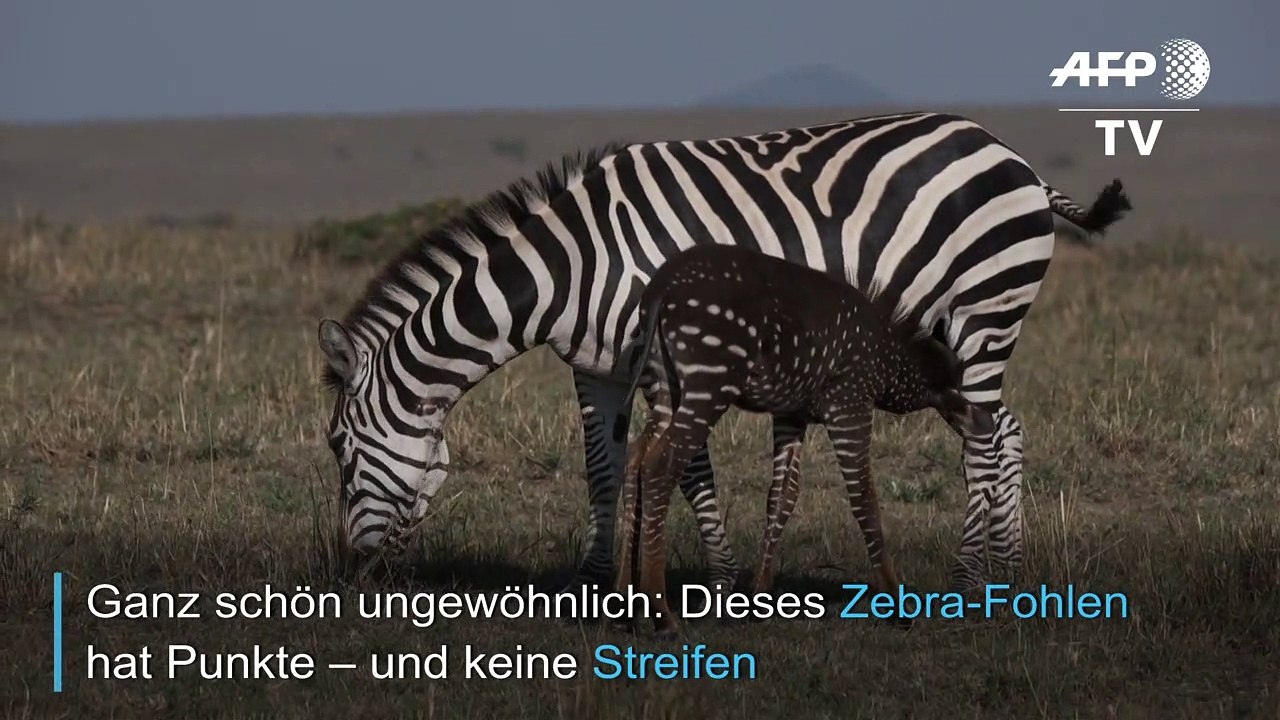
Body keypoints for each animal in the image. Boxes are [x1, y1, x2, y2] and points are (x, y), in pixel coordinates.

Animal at [316, 111, 1131, 593]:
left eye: (339, 447)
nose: (350, 571)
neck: (573, 267)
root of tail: (1016, 159)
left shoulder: (669, 360)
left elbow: (690, 471)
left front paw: (721, 579)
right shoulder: (596, 368)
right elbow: (603, 469)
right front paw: (593, 579)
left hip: (983, 313)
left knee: (987, 439)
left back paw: (968, 576)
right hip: (952, 339)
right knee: (1006, 431)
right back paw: (1007, 570)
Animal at [614, 244, 994, 636]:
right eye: (954, 382)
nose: (984, 422)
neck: (887, 357)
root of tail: (659, 290)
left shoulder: (791, 414)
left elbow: (781, 497)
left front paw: (758, 599)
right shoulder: (849, 404)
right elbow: (865, 498)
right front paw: (897, 605)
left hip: (664, 387)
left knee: (635, 458)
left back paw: (625, 608)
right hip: (709, 383)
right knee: (661, 464)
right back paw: (663, 615)